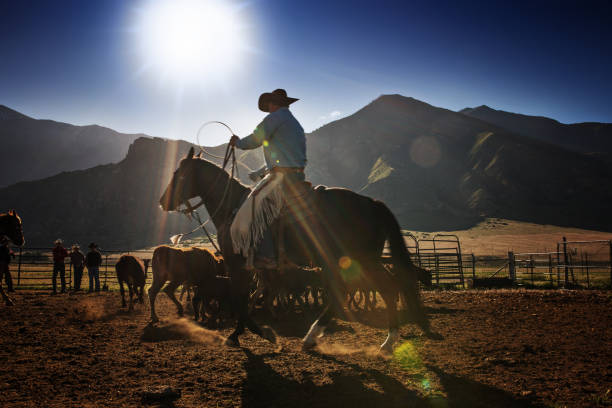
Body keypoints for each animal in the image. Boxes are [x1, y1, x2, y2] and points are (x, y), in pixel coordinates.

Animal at [160, 148, 432, 352]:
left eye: (179, 174)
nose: (163, 201)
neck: (233, 208)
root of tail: (372, 203)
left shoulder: (237, 263)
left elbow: (240, 299)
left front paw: (256, 333)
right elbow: (245, 297)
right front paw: (244, 332)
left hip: (362, 259)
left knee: (384, 288)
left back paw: (385, 342)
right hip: (350, 260)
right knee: (357, 291)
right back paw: (318, 337)